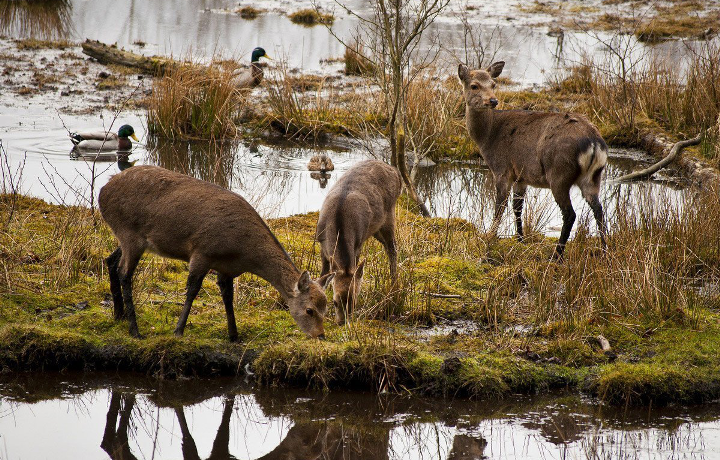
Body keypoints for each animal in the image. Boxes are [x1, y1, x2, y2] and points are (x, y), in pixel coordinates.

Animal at [99, 165, 334, 342]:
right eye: (310, 310)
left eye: (326, 309)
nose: (320, 335)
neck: (243, 252)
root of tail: (102, 192)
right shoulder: (201, 252)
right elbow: (192, 291)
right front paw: (178, 330)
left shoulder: (226, 268)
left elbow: (228, 297)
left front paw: (234, 336)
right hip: (129, 234)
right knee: (124, 273)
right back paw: (135, 330)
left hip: (126, 238)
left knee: (110, 261)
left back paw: (118, 315)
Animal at [316, 160, 402, 326]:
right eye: (335, 302)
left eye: (354, 302)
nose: (342, 322)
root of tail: (395, 171)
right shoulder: (321, 244)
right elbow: (324, 274)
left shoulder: (358, 244)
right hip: (376, 229)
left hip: (389, 215)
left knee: (393, 248)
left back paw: (394, 283)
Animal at [462, 61, 608, 256]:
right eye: (474, 85)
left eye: (493, 84)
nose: (492, 101)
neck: (488, 136)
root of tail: (594, 142)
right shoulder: (521, 176)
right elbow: (517, 208)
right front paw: (520, 239)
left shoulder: (501, 169)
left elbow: (500, 207)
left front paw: (490, 236)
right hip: (593, 177)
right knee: (598, 209)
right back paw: (605, 250)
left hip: (559, 174)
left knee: (570, 214)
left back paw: (557, 255)